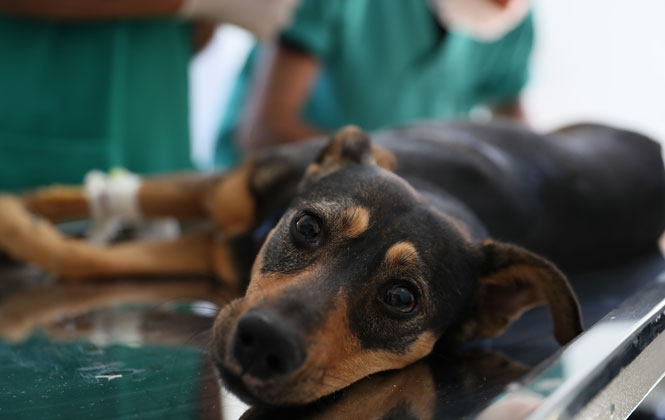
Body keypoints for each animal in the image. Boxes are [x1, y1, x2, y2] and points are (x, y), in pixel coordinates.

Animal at [1, 120, 664, 406]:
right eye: (307, 228)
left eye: (402, 298)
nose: (263, 343)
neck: (440, 190)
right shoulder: (230, 193)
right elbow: (89, 210)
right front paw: (18, 214)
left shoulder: (215, 250)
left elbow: (80, 258)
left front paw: (25, 233)